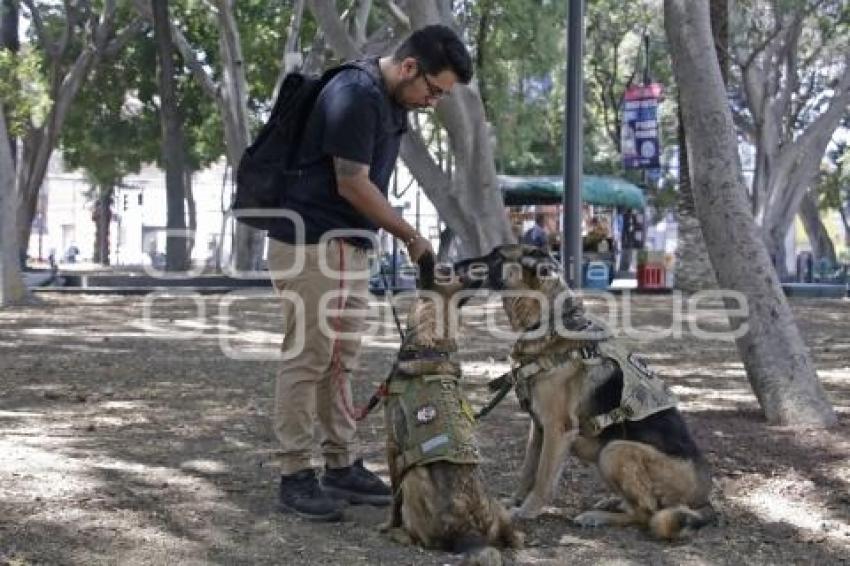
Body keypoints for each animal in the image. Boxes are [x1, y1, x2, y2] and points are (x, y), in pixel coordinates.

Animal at [380, 268, 520, 566]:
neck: (430, 342)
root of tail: (471, 533)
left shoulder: (392, 445)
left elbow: (393, 501)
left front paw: (389, 525)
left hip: (413, 478)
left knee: (417, 535)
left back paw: (399, 534)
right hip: (500, 510)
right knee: (516, 537)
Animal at [450, 247, 716, 540]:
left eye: (497, 256)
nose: (455, 265)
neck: (549, 321)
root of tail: (704, 499)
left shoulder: (558, 429)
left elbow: (543, 478)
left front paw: (528, 510)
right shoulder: (538, 427)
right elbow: (528, 470)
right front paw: (515, 501)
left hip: (614, 450)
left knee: (647, 513)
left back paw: (598, 516)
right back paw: (612, 502)